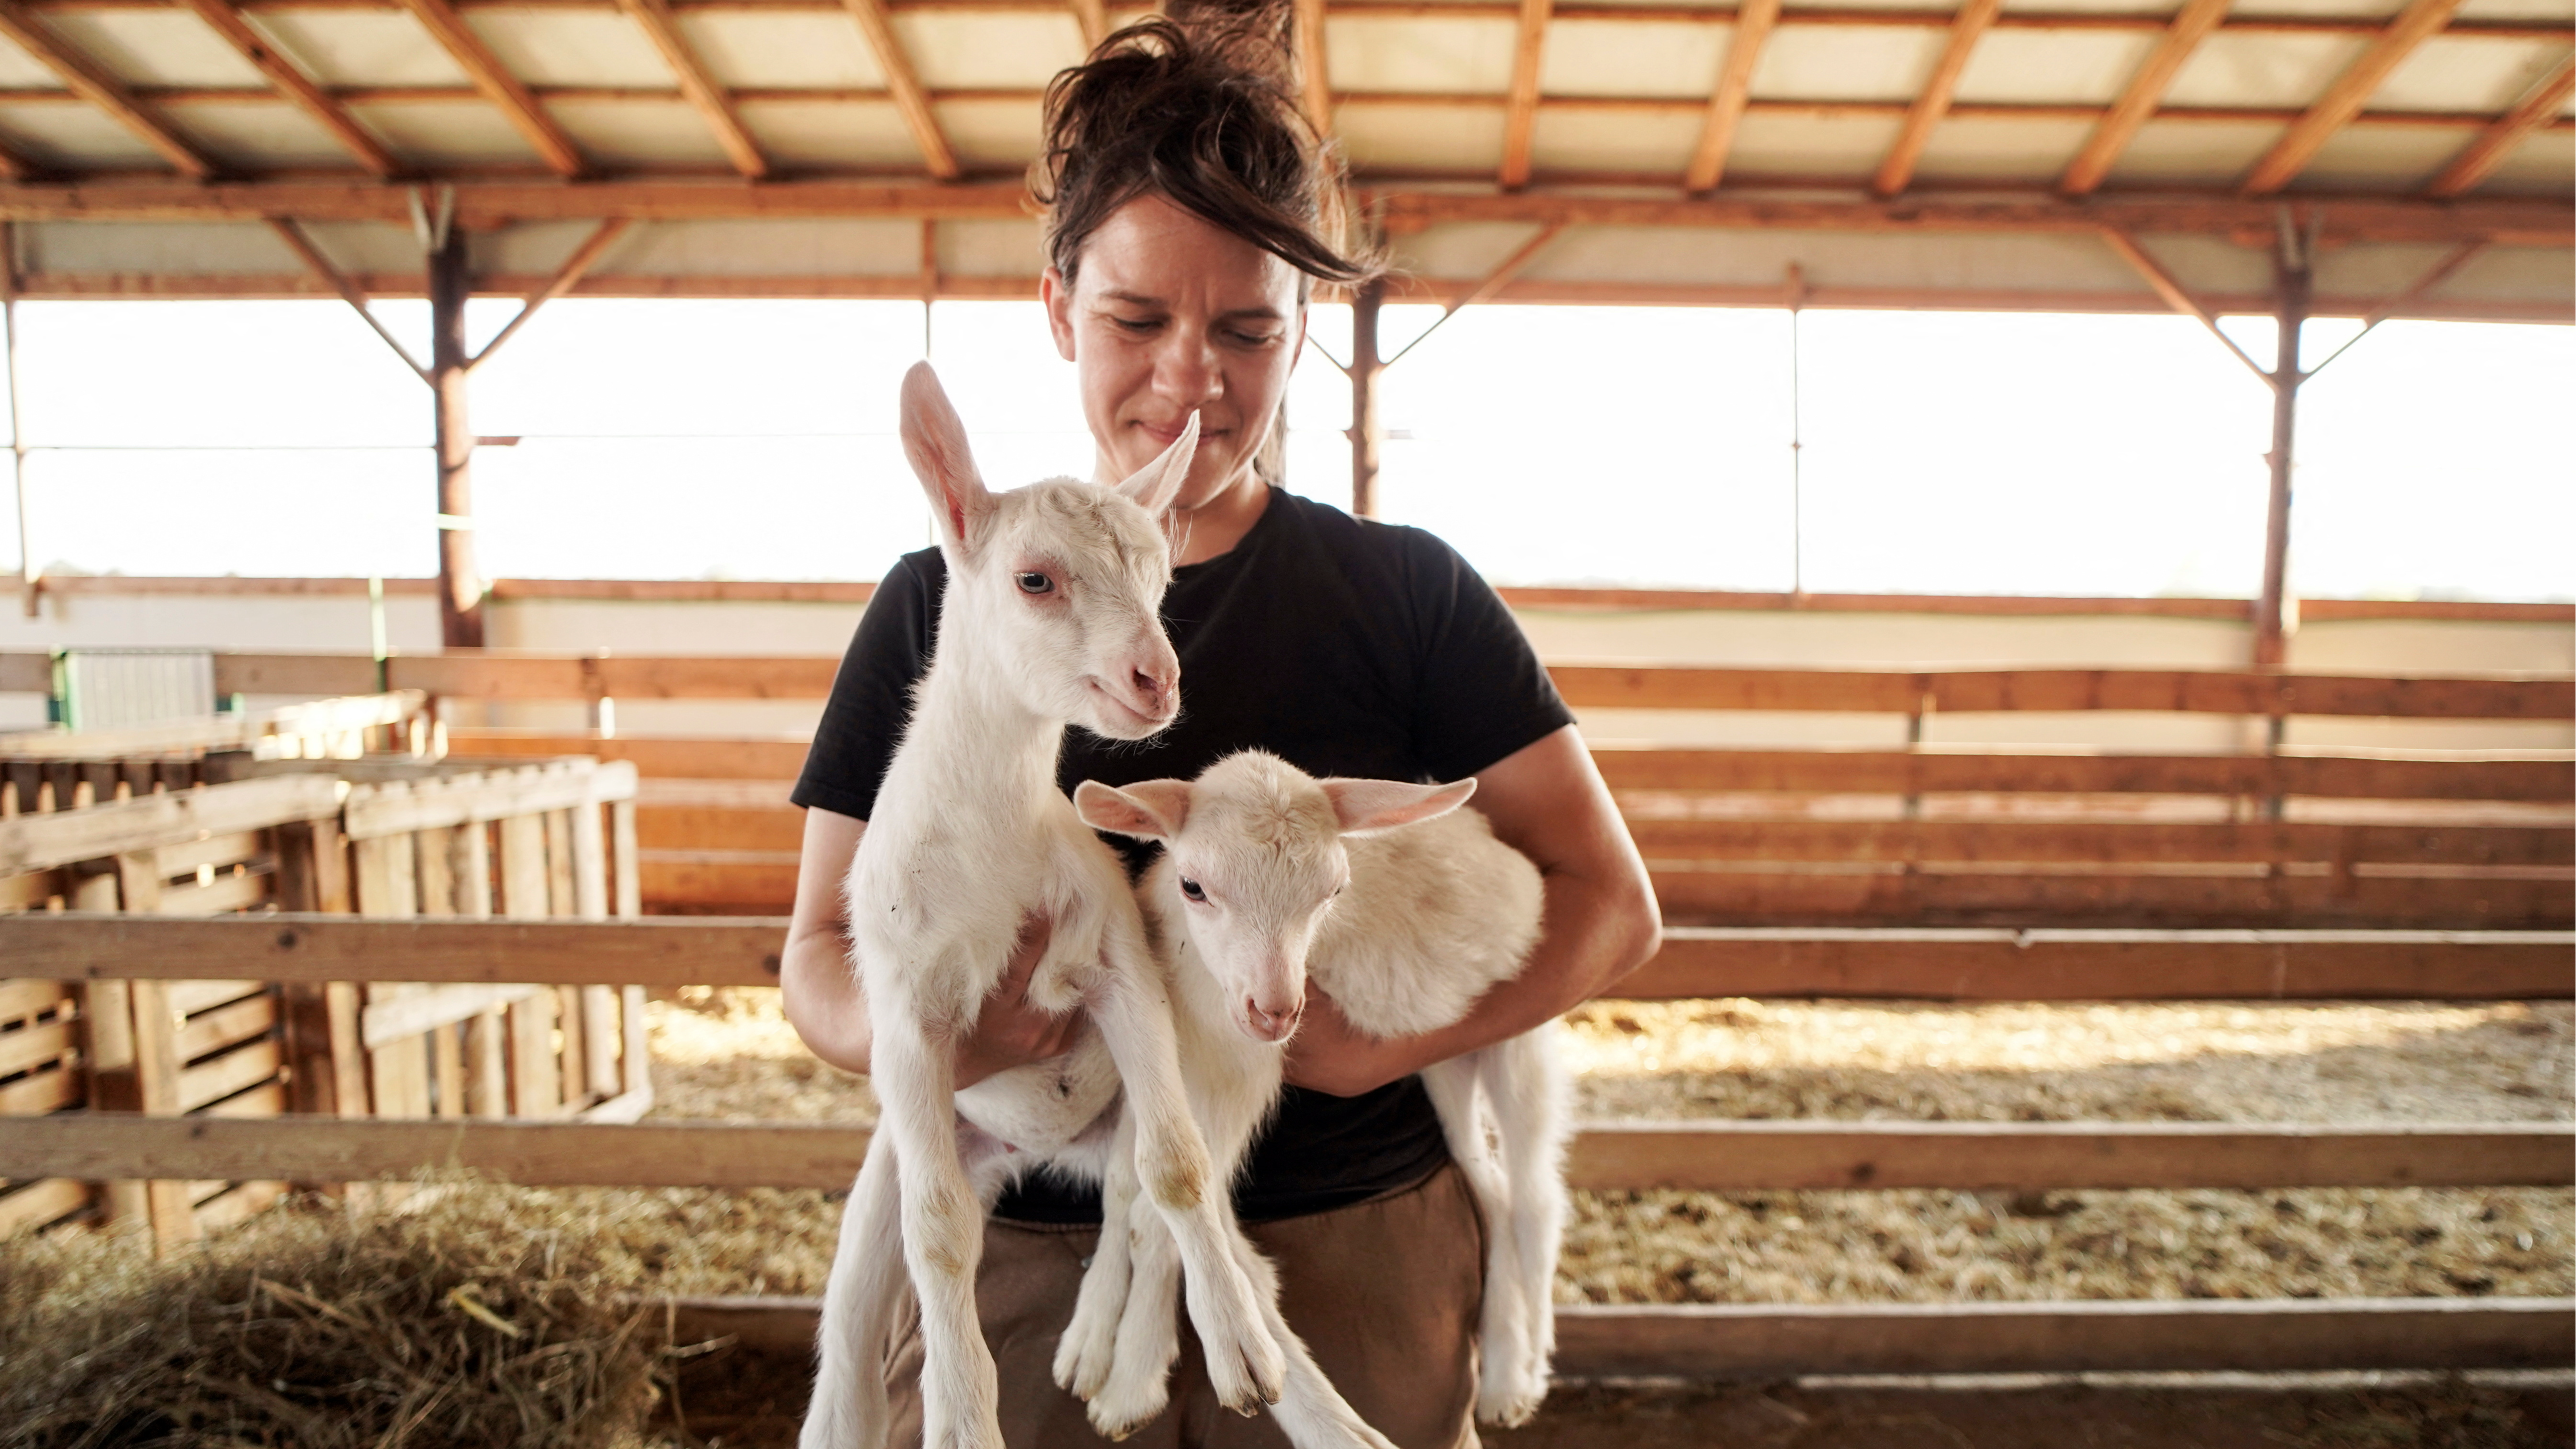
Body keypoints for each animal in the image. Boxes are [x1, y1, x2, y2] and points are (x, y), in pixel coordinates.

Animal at [1061, 747, 1566, 1433]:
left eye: (1334, 891)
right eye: (1193, 885)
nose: (1275, 1010)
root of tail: (1486, 836)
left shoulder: (1240, 1070)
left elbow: (1162, 1204)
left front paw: (1134, 1377)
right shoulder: (1170, 1056)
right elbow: (1127, 1183)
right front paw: (1091, 1341)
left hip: (1520, 1028)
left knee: (1535, 1194)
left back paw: (1521, 1373)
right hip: (1443, 1054)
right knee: (1483, 1176)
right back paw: (1502, 1368)